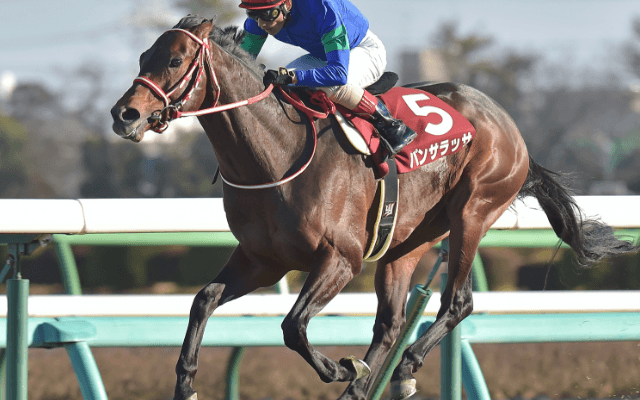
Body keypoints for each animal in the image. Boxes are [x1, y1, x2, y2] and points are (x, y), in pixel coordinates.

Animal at [110, 16, 639, 400]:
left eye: (175, 59)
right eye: (142, 56)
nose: (124, 114)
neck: (276, 152)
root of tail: (507, 123)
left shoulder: (340, 259)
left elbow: (293, 326)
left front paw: (338, 367)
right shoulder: (263, 260)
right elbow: (203, 299)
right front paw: (185, 384)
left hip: (473, 211)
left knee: (457, 302)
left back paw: (402, 370)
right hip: (404, 243)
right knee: (391, 323)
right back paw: (370, 385)